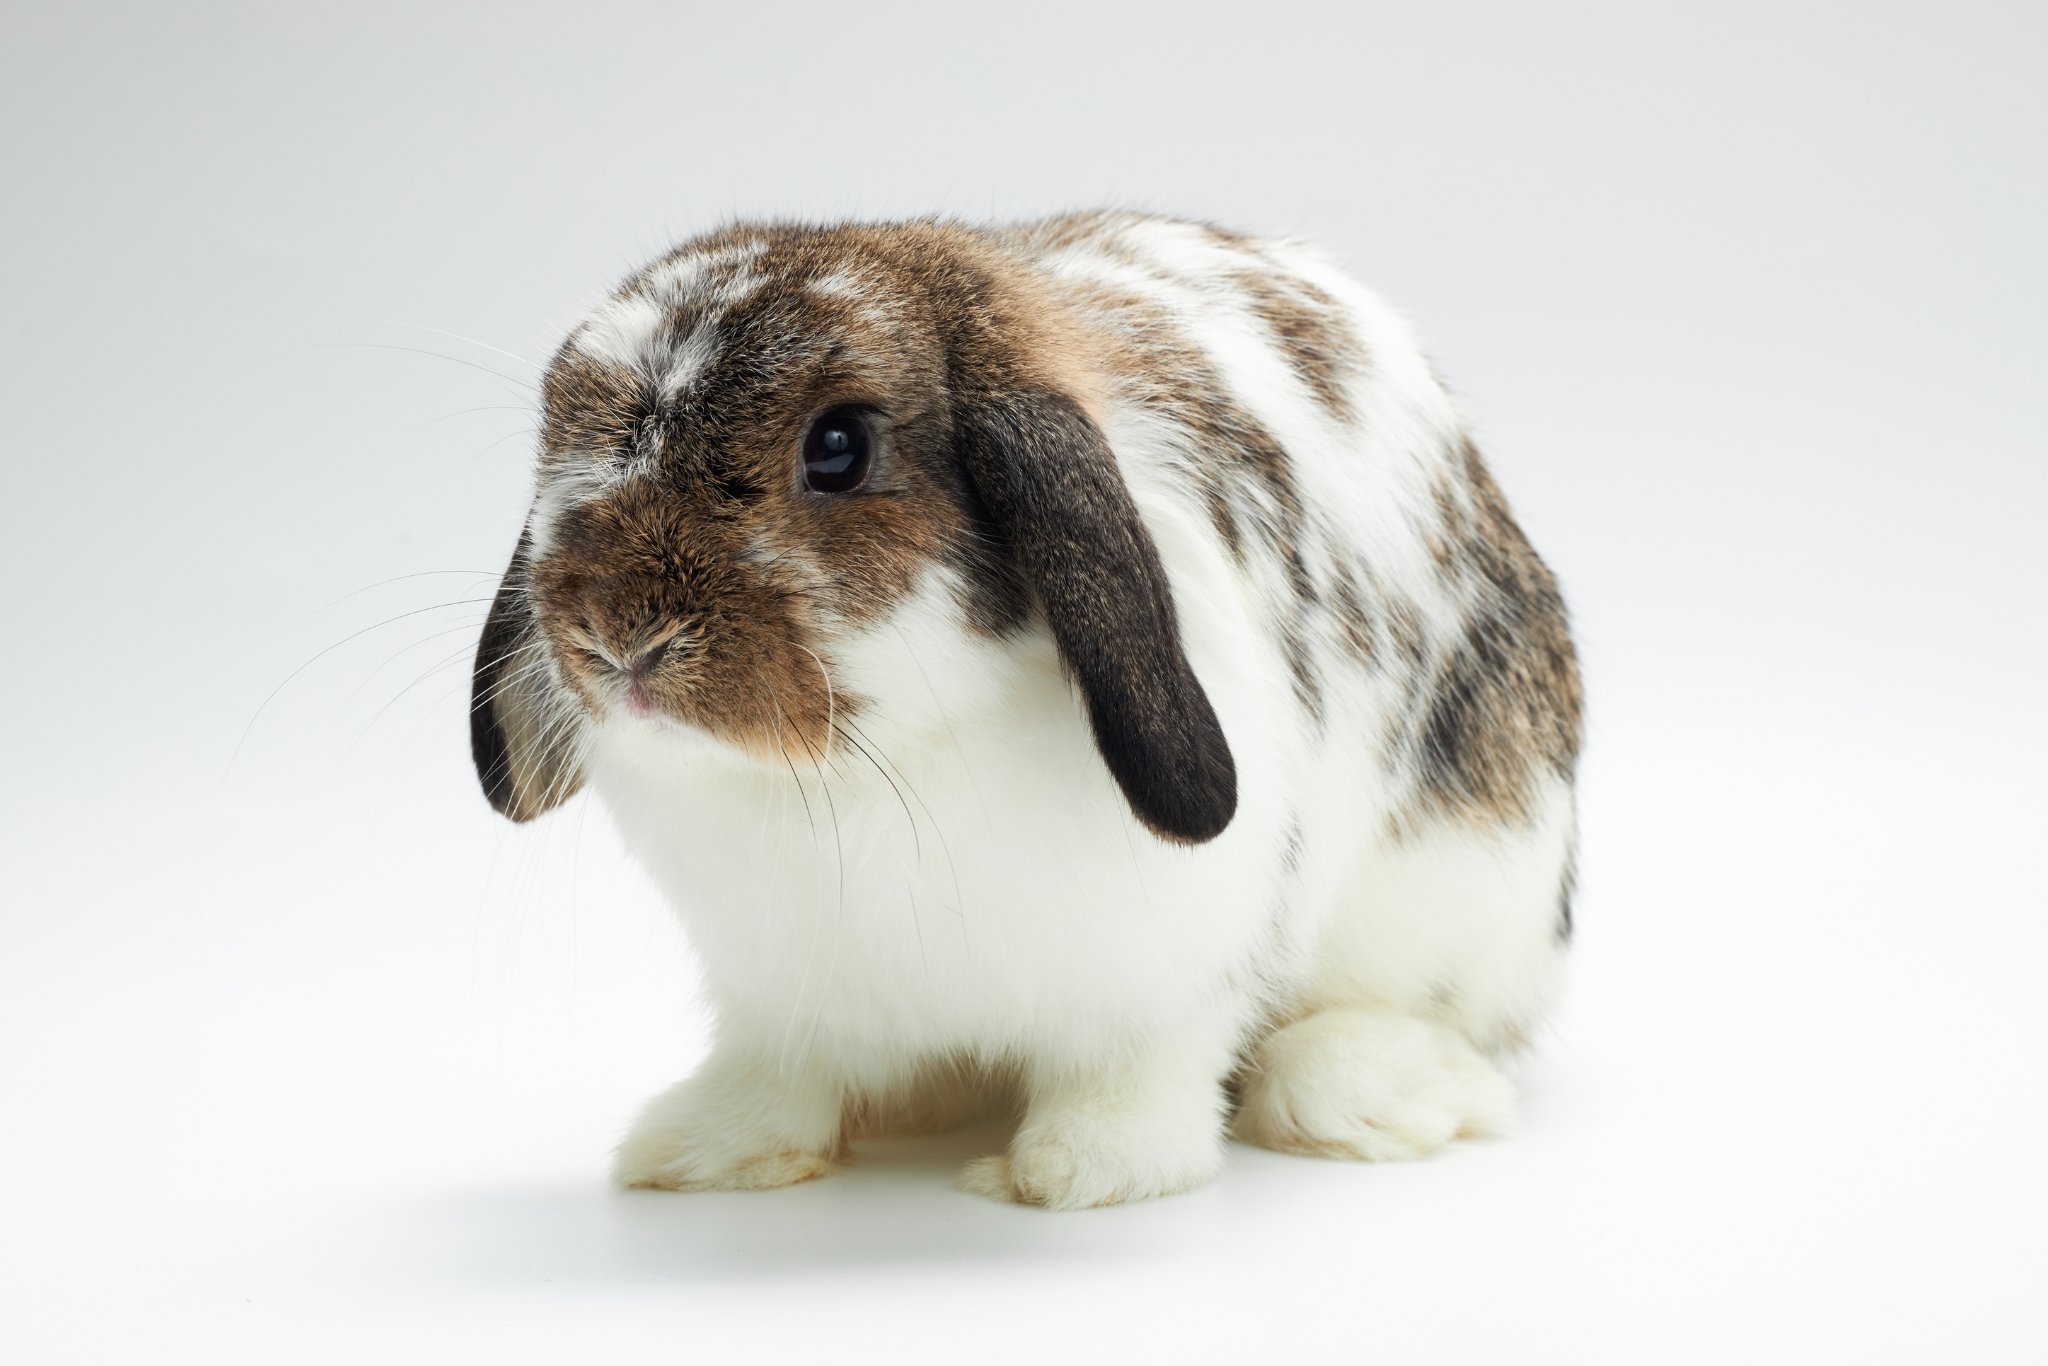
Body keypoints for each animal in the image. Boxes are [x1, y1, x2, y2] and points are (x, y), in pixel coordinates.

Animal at [469, 210, 1582, 1210]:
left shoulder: (1166, 978)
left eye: (836, 447)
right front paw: (706, 1148)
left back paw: (1367, 1087)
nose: (619, 639)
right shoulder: (780, 997)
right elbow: (780, 1077)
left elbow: (1135, 1069)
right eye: (563, 438)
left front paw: (1082, 1169)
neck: (873, 763)